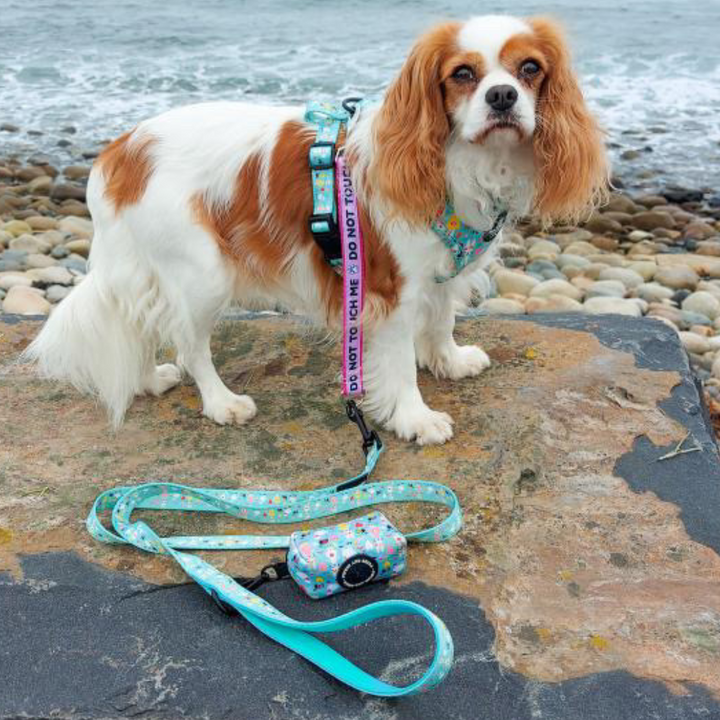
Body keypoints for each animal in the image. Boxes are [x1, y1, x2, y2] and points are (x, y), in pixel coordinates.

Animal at [23, 14, 608, 444]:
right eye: (463, 74)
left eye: (529, 68)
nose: (502, 96)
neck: (463, 161)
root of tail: (120, 151)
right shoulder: (388, 288)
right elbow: (400, 362)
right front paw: (415, 417)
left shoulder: (437, 273)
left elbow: (442, 319)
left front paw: (449, 360)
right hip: (203, 273)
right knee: (189, 346)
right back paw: (221, 403)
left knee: (142, 325)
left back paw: (147, 380)